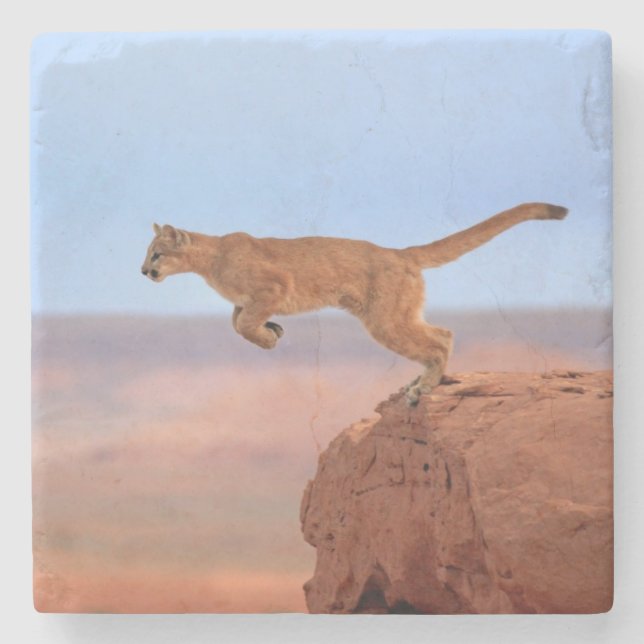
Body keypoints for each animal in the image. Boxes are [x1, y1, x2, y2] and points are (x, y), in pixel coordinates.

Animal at [141, 202, 567, 404]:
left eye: (157, 254)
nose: (143, 271)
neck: (210, 259)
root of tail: (399, 252)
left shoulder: (275, 286)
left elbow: (244, 324)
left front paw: (269, 337)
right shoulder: (247, 300)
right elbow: (237, 321)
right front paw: (274, 328)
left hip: (385, 320)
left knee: (438, 340)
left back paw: (423, 388)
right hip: (399, 313)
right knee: (443, 331)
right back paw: (421, 380)